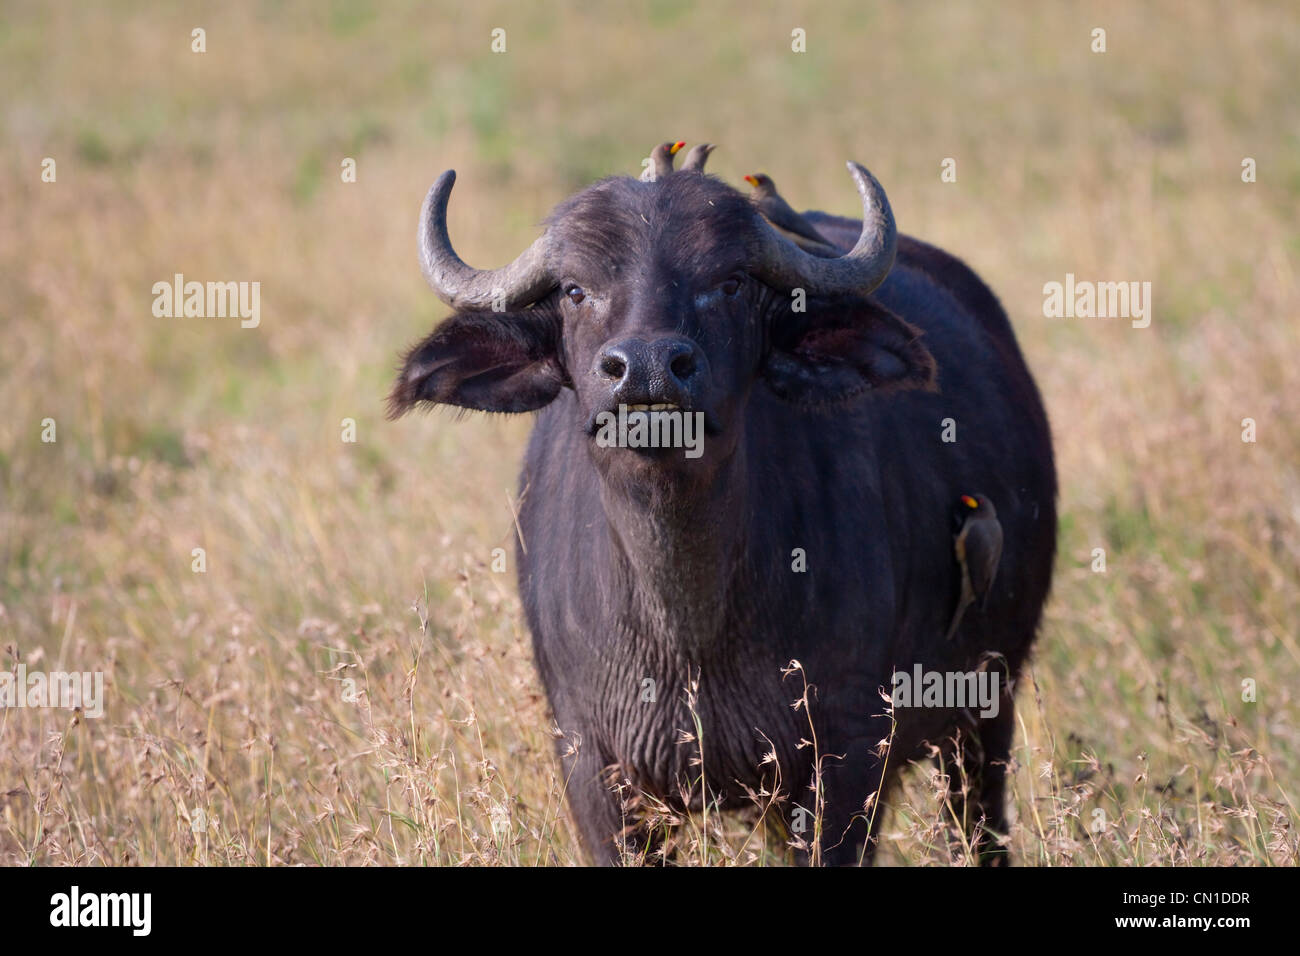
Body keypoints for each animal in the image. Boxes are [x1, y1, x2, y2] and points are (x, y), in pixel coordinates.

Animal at [387, 149, 1055, 868]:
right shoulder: (592, 766)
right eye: (573, 290)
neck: (689, 632)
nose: (648, 367)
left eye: (731, 283)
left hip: (986, 712)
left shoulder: (848, 754)